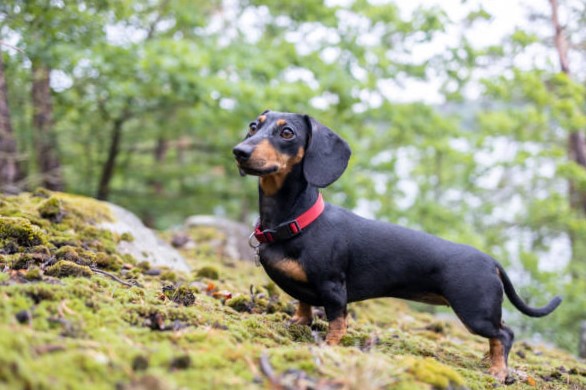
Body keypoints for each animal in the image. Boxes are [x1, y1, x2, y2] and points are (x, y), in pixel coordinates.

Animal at [230, 109, 560, 380]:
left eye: (287, 133)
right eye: (253, 126)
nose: (239, 152)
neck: (297, 222)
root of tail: (491, 261)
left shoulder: (333, 288)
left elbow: (338, 322)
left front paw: (330, 347)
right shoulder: (308, 290)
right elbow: (303, 304)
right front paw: (298, 322)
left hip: (475, 313)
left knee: (505, 334)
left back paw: (498, 370)